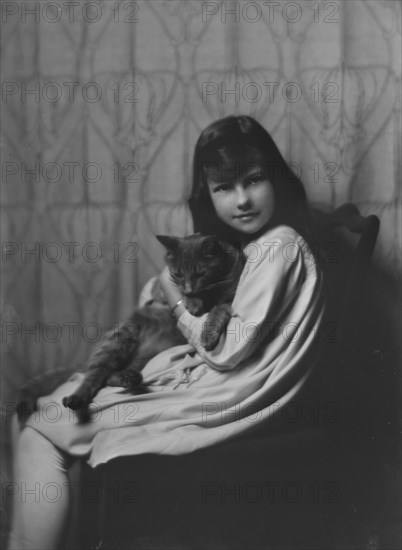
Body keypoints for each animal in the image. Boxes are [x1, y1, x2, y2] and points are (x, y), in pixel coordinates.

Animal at [60, 234, 243, 422]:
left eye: (201, 273)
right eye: (177, 274)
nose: (189, 290)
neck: (212, 291)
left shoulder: (229, 296)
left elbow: (219, 309)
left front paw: (208, 335)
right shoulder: (162, 287)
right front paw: (192, 303)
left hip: (148, 354)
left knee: (110, 377)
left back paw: (129, 378)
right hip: (117, 341)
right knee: (95, 376)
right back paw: (76, 399)